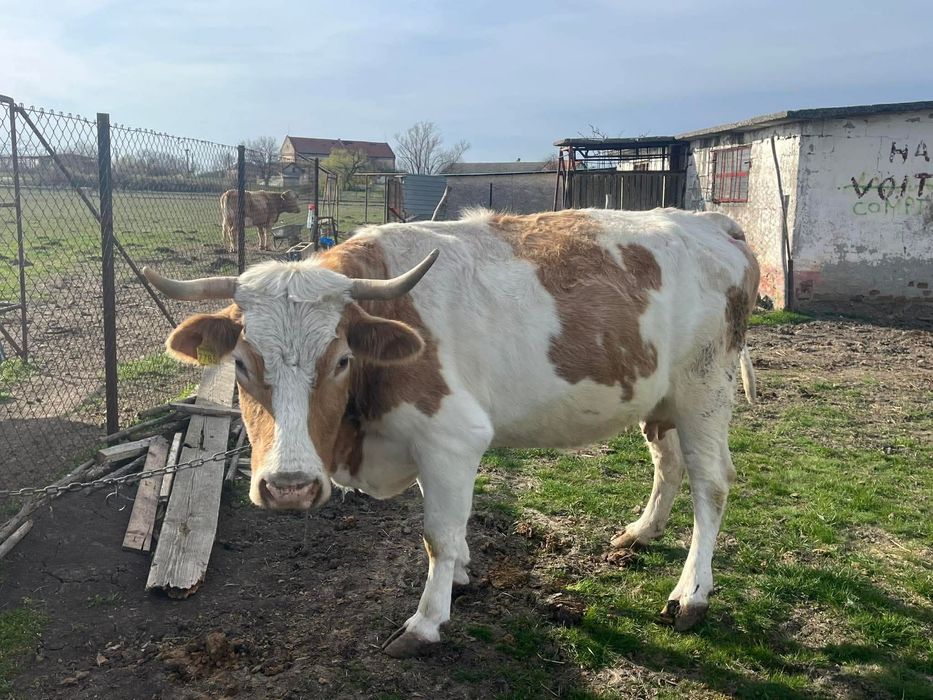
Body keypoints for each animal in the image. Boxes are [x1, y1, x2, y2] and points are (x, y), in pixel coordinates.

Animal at [142, 207, 759, 658]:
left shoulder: (451, 437)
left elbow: (436, 535)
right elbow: (450, 529)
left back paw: (690, 595)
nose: (289, 486)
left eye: (341, 359)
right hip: (661, 397)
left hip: (705, 388)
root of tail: (710, 220)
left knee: (711, 483)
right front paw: (461, 572)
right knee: (668, 463)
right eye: (242, 365)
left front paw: (426, 622)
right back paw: (642, 531)